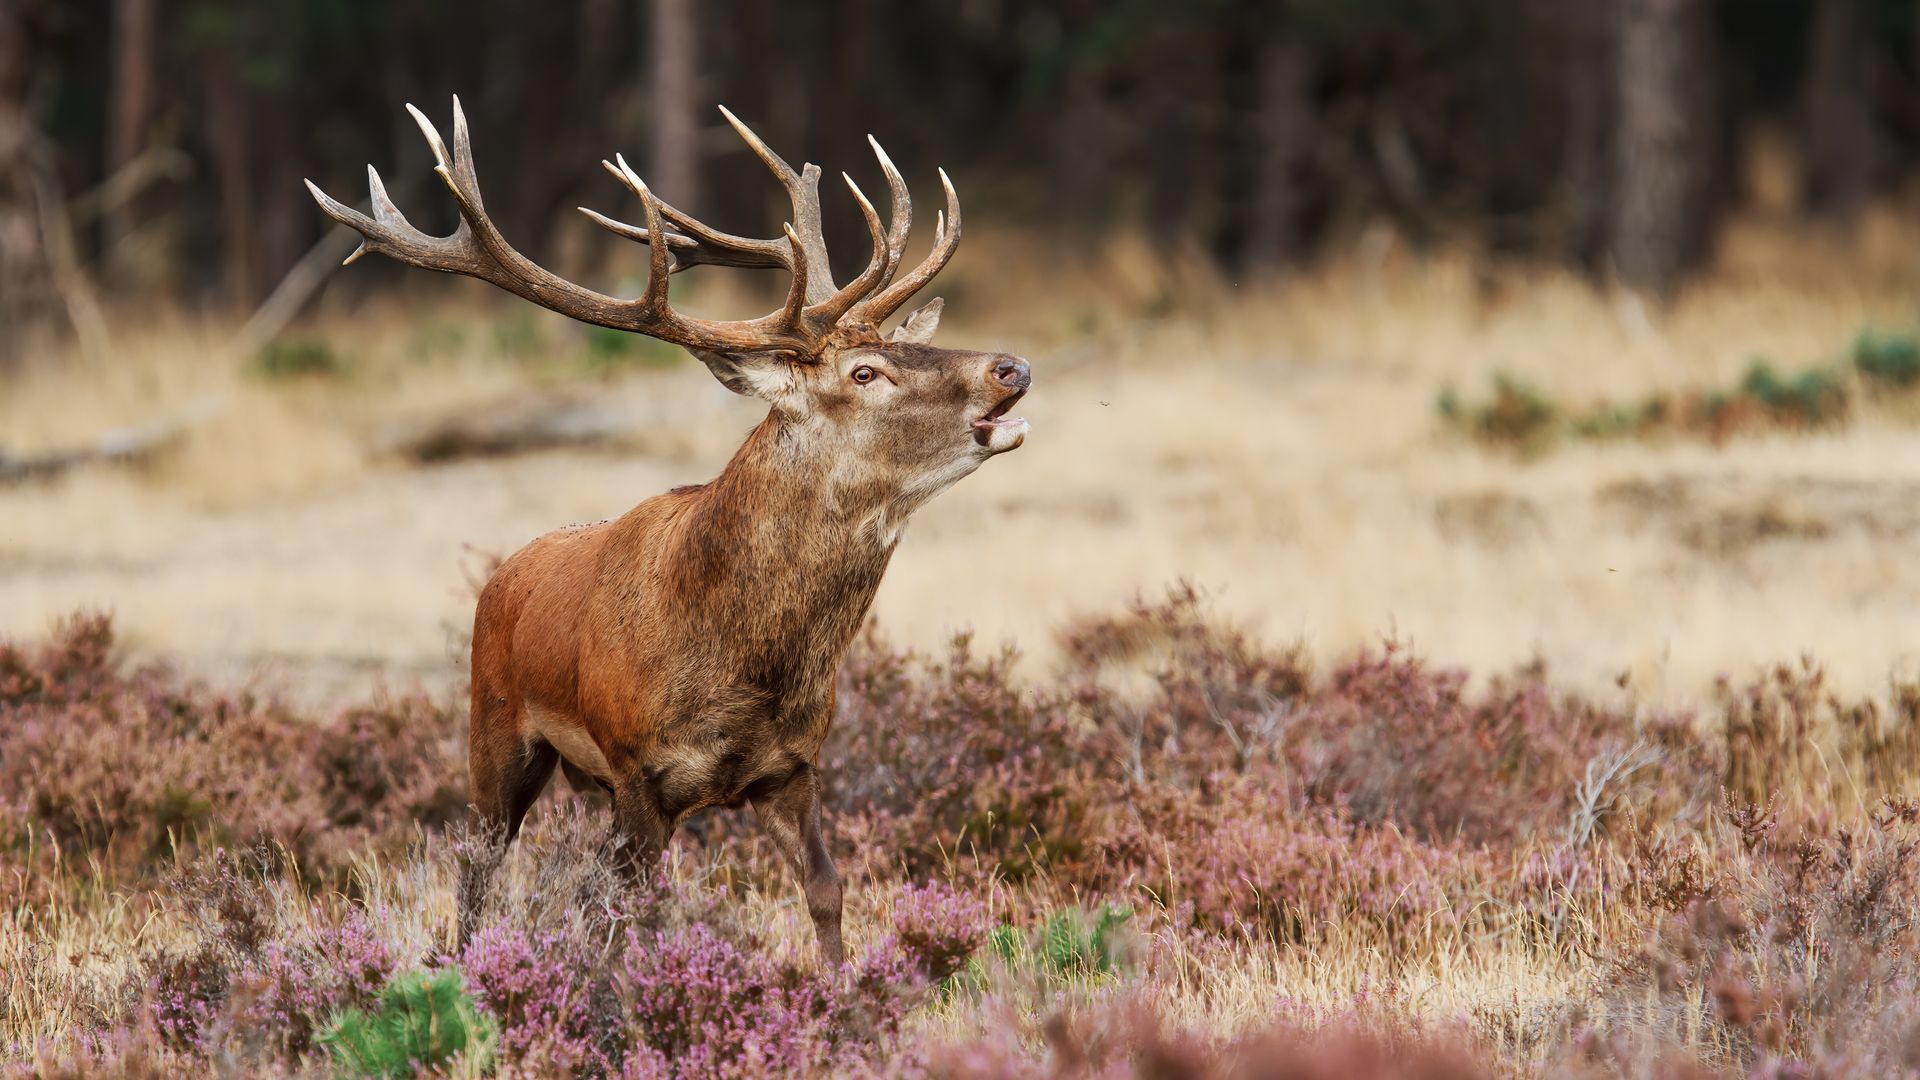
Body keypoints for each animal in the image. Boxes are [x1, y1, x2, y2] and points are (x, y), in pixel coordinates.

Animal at [305, 98, 1028, 965]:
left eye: (900, 346)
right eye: (865, 373)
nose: (1011, 367)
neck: (744, 666)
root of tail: (505, 572)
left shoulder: (792, 767)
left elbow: (825, 890)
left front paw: (843, 985)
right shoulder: (637, 768)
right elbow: (637, 913)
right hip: (496, 727)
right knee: (477, 866)